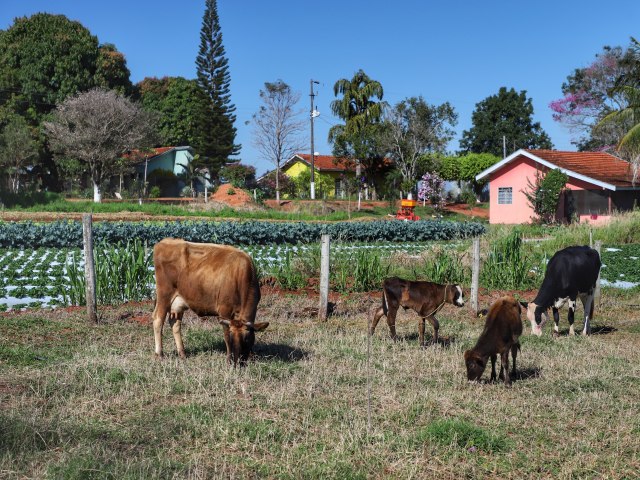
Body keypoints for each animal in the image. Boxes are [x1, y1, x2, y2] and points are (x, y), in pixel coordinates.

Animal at [152, 238, 268, 366]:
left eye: (246, 338)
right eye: (232, 337)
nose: (238, 362)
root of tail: (164, 241)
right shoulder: (224, 311)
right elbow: (226, 336)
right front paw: (229, 360)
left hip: (178, 301)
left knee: (175, 323)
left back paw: (182, 354)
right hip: (164, 295)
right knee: (158, 319)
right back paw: (159, 354)